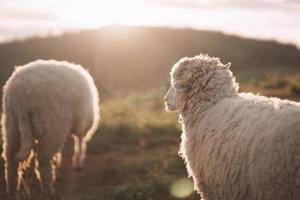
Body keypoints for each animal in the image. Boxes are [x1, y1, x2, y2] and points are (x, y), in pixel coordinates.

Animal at [0, 59, 100, 197]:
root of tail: (23, 98)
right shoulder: (82, 123)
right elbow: (80, 141)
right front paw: (77, 163)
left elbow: (63, 149)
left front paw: (59, 170)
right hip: (52, 125)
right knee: (43, 161)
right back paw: (49, 190)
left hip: (12, 125)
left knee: (10, 160)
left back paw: (12, 190)